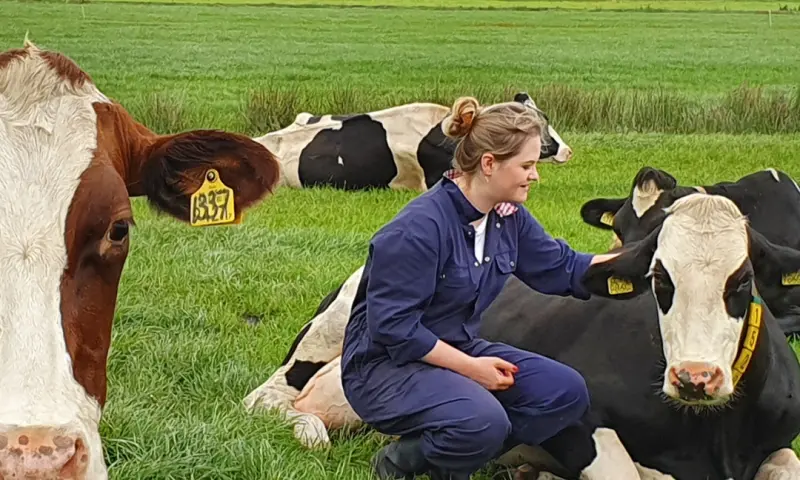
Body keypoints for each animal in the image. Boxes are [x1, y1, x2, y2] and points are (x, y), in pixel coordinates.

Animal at [245, 193, 800, 479]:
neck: (710, 437)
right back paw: (308, 429)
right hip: (325, 337)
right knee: (267, 399)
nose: (695, 377)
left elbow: (789, 460)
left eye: (742, 281)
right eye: (660, 279)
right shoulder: (582, 427)